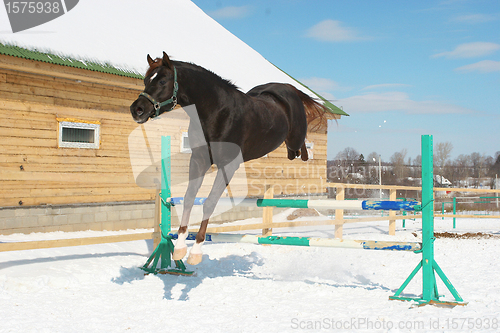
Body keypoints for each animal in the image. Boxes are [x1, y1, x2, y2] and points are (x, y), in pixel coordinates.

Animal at [131, 52, 330, 264]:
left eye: (162, 80)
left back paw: (304, 153)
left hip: (295, 138)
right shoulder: (199, 160)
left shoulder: (228, 166)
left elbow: (210, 202)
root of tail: (288, 87)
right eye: (146, 80)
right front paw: (180, 248)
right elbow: (189, 198)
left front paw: (196, 251)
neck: (217, 112)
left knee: (300, 149)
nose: (137, 109)